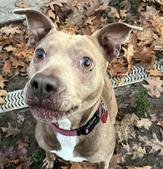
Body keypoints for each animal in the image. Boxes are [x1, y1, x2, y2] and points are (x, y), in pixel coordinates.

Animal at [13, 8, 141, 168]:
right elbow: (49, 153)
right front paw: (49, 161)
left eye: (86, 62)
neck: (67, 129)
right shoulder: (46, 145)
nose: (42, 84)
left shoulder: (104, 159)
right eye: (39, 53)